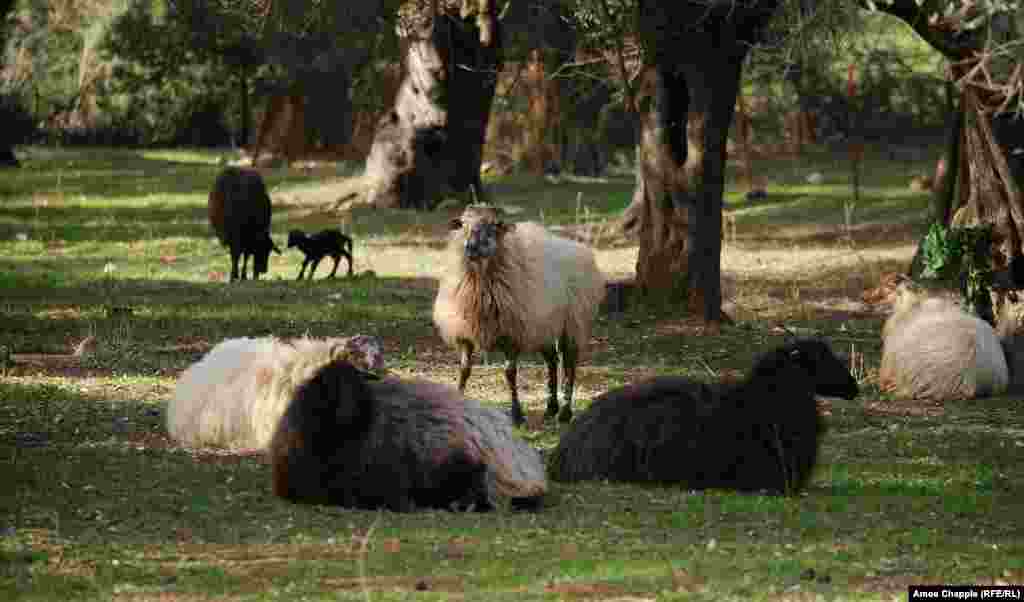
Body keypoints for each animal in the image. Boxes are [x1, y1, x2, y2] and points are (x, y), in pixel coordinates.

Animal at [432, 204, 606, 425]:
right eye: (463, 224)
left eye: (495, 226)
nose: (471, 247)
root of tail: (581, 249)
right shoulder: (464, 333)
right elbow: (464, 369)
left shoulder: (512, 334)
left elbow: (510, 373)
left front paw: (517, 415)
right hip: (544, 326)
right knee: (552, 361)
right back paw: (550, 408)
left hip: (573, 323)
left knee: (569, 363)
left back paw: (565, 413)